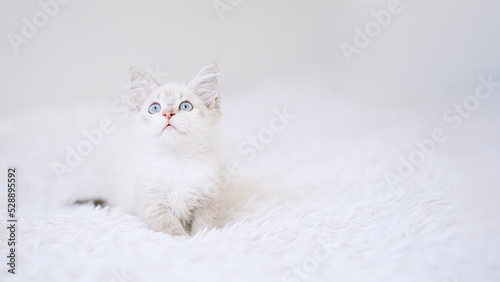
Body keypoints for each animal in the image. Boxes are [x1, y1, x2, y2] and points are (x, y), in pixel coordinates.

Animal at [106, 64, 222, 236]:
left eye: (185, 106)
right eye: (154, 108)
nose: (168, 113)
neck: (176, 160)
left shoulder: (208, 196)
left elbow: (205, 222)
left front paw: (202, 236)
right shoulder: (150, 200)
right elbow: (167, 223)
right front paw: (182, 238)